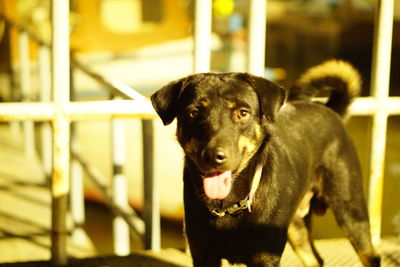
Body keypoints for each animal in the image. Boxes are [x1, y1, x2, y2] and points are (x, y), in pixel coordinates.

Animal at [151, 61, 382, 267]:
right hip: (297, 226)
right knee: (315, 260)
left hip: (350, 211)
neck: (230, 205)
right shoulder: (203, 254)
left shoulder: (265, 257)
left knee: (370, 256)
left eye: (243, 113)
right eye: (193, 113)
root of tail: (329, 110)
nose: (213, 156)